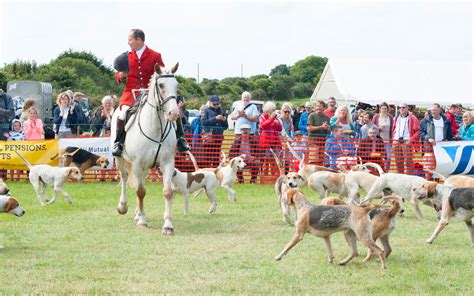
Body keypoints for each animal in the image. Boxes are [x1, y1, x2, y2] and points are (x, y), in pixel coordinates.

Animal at [111, 63, 181, 235]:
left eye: (176, 85)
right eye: (161, 85)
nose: (174, 114)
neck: (156, 128)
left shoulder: (167, 163)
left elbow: (167, 192)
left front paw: (168, 225)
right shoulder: (137, 163)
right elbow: (141, 191)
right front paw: (143, 221)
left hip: (146, 168)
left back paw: (137, 213)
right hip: (120, 160)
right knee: (124, 178)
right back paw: (123, 207)